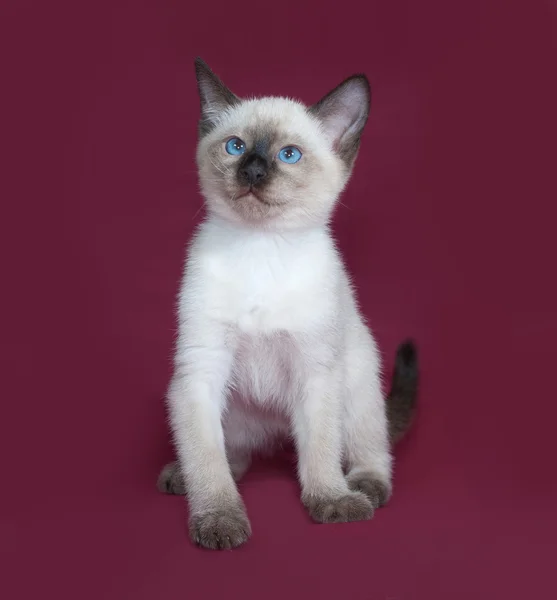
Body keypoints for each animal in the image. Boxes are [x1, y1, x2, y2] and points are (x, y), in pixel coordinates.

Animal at [156, 58, 416, 552]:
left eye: (289, 155)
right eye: (235, 147)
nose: (253, 172)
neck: (261, 246)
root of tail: (276, 433)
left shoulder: (316, 372)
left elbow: (320, 451)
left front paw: (330, 501)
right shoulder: (200, 370)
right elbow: (207, 461)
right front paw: (218, 520)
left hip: (356, 379)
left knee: (368, 448)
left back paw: (363, 488)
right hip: (230, 409)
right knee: (231, 457)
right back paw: (182, 478)